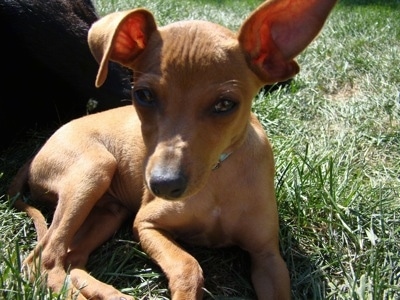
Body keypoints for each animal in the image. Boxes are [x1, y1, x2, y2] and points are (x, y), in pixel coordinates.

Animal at [7, 1, 336, 298]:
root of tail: (38, 151)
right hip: (93, 170)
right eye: (144, 95)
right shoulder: (147, 223)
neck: (218, 179)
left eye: (225, 104)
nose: (163, 185)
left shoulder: (268, 256)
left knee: (71, 258)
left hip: (109, 210)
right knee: (45, 261)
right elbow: (188, 266)